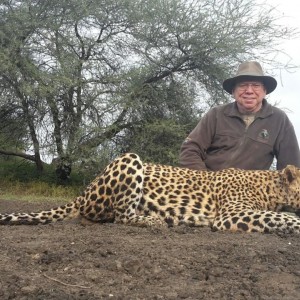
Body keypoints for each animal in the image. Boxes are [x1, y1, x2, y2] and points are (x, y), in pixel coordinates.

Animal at [0, 152, 300, 234]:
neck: (272, 188)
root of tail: (84, 191)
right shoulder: (232, 214)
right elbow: (284, 218)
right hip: (131, 159)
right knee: (120, 217)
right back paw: (157, 220)